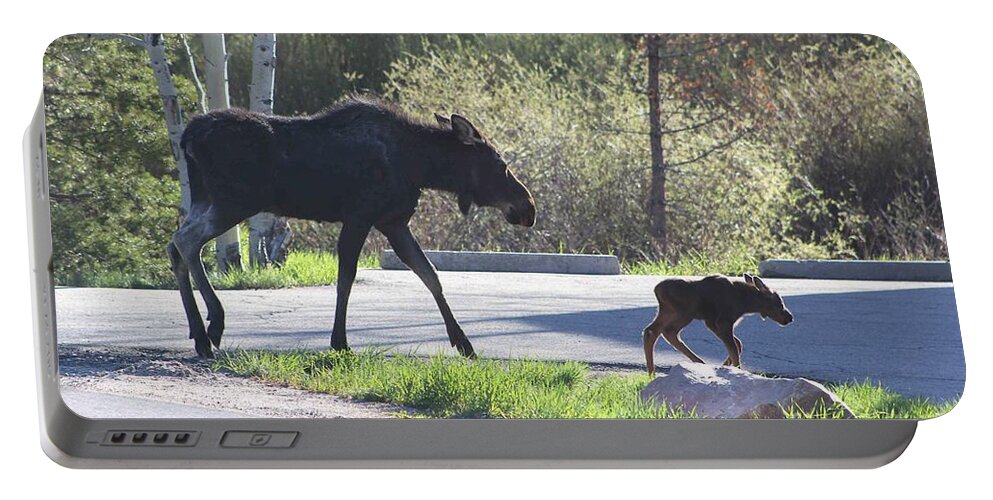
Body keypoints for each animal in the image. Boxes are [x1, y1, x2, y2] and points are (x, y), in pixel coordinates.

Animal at [169, 95, 536, 358]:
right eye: (501, 164)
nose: (528, 208)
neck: (420, 166)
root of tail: (188, 136)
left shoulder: (393, 222)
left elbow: (430, 275)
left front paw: (462, 341)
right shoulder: (360, 217)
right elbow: (346, 279)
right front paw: (339, 341)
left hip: (206, 198)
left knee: (174, 245)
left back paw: (198, 333)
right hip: (234, 202)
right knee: (187, 242)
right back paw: (213, 325)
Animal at [644, 274, 792, 376]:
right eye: (779, 302)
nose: (789, 317)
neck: (746, 303)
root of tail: (657, 290)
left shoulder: (711, 322)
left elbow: (737, 344)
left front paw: (725, 366)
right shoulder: (723, 320)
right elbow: (734, 348)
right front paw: (736, 370)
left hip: (667, 311)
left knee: (652, 331)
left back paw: (653, 372)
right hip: (685, 313)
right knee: (669, 331)